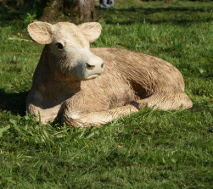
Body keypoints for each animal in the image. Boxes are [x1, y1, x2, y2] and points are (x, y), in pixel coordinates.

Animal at [26, 21, 193, 127]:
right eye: (59, 45)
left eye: (88, 44)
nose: (95, 64)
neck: (56, 95)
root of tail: (177, 71)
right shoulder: (35, 105)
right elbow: (37, 117)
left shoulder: (93, 101)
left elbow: (72, 117)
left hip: (159, 80)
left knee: (178, 99)